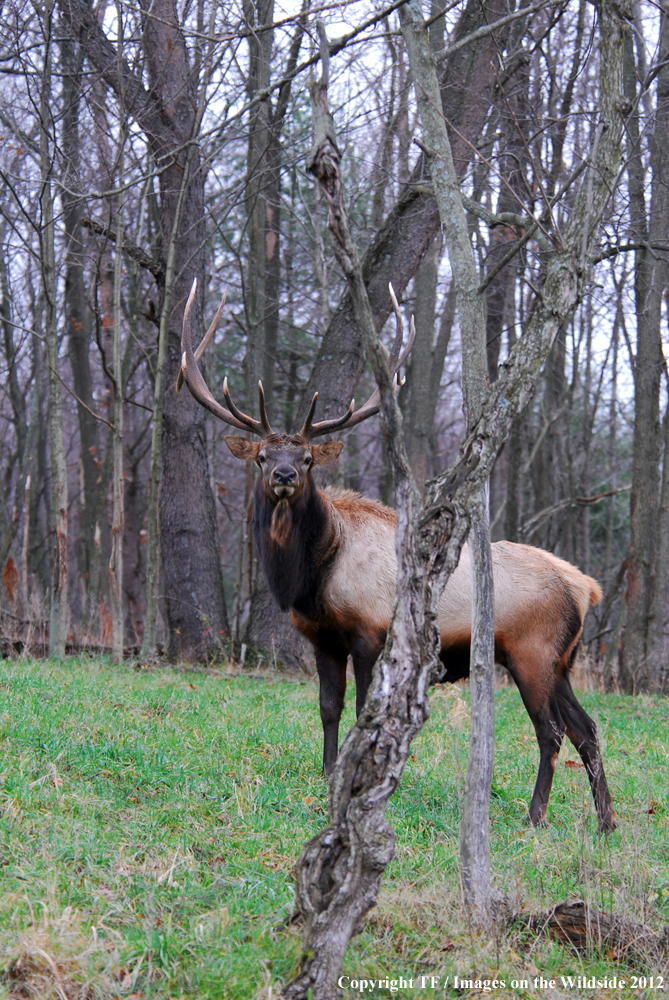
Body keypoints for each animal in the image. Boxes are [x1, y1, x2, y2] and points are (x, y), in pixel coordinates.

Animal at [176, 278, 616, 832]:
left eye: (307, 457)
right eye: (261, 455)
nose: (283, 476)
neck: (312, 575)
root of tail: (585, 587)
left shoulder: (371, 631)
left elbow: (363, 711)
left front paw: (355, 781)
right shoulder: (322, 638)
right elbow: (328, 707)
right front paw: (327, 773)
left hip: (531, 652)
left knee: (552, 732)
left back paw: (534, 817)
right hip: (562, 660)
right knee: (588, 728)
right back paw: (606, 823)